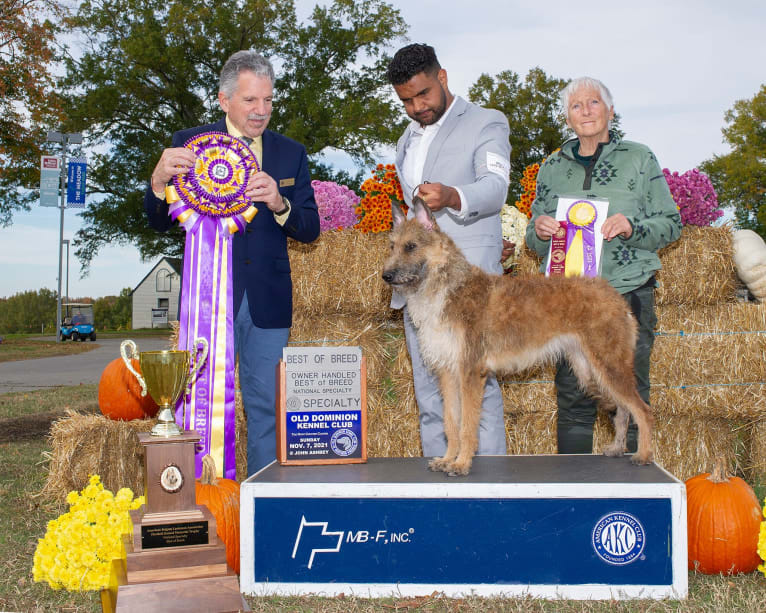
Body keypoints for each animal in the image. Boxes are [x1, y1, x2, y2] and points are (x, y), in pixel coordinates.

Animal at [382, 198, 656, 476]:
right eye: (392, 246)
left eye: (411, 246)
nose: (386, 276)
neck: (447, 288)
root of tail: (614, 296)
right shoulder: (448, 373)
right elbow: (451, 423)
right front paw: (448, 459)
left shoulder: (470, 372)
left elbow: (467, 426)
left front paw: (461, 463)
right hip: (592, 370)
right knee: (622, 411)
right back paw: (618, 448)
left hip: (609, 367)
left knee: (643, 411)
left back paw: (643, 455)